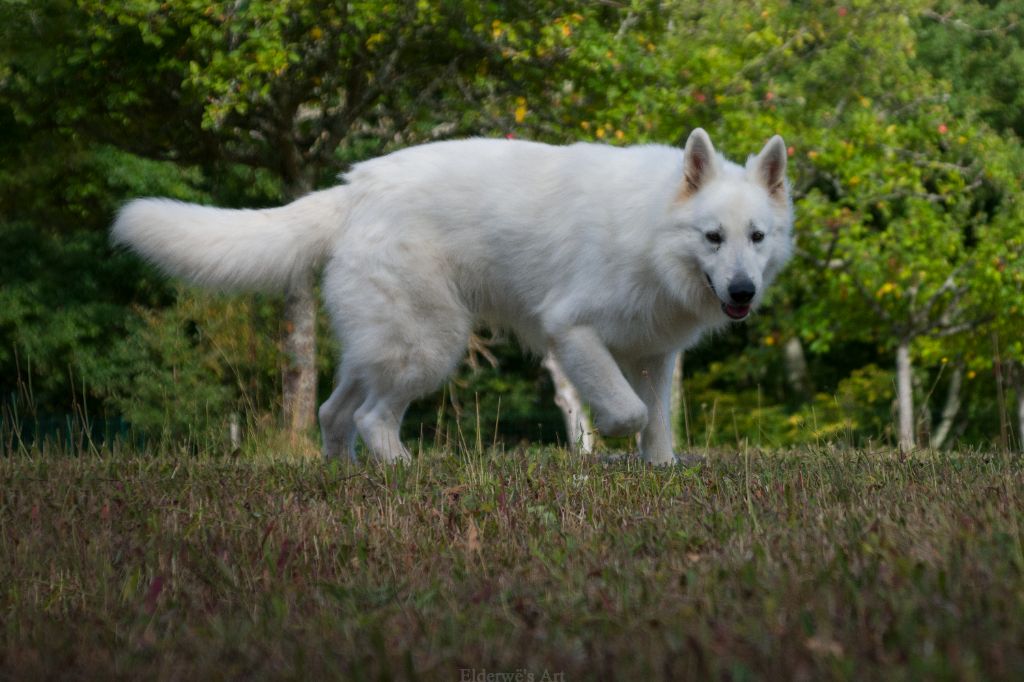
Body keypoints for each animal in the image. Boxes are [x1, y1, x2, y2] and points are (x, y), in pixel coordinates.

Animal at [112, 128, 793, 465]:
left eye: (757, 237)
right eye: (712, 237)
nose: (743, 291)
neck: (654, 231)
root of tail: (355, 188)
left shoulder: (655, 356)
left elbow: (657, 424)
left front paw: (659, 471)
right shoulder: (571, 331)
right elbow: (627, 413)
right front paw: (612, 444)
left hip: (382, 347)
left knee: (334, 413)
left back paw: (342, 473)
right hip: (430, 345)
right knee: (370, 417)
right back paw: (402, 470)